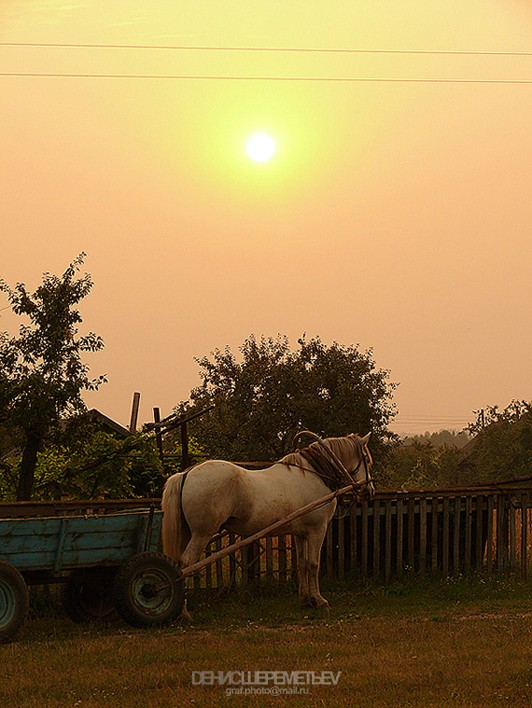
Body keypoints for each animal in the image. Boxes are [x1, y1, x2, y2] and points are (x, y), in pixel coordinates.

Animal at [162, 432, 374, 608]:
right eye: (367, 461)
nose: (369, 491)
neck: (314, 474)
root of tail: (187, 473)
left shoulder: (301, 533)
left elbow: (303, 563)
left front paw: (306, 599)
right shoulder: (317, 530)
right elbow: (314, 564)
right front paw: (319, 600)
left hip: (188, 534)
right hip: (201, 534)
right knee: (186, 565)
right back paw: (183, 610)